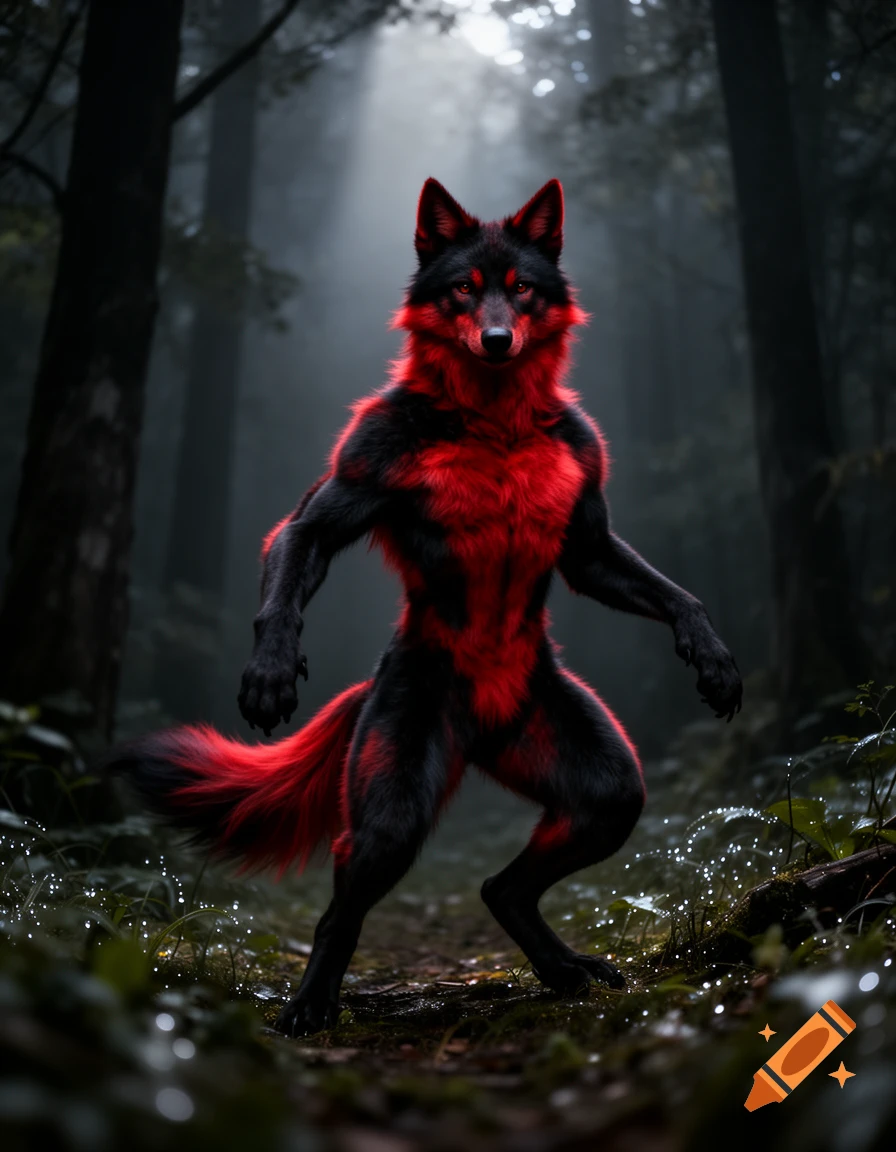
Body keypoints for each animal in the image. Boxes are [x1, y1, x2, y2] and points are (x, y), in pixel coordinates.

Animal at [113, 179, 742, 1036]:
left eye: (521, 289)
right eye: (463, 291)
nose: (498, 340)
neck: (497, 419)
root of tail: (476, 727)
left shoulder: (587, 530)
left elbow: (674, 592)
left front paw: (710, 656)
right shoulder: (355, 470)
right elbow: (299, 543)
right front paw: (270, 670)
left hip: (597, 783)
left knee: (504, 885)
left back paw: (562, 970)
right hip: (395, 802)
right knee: (342, 908)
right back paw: (309, 1008)